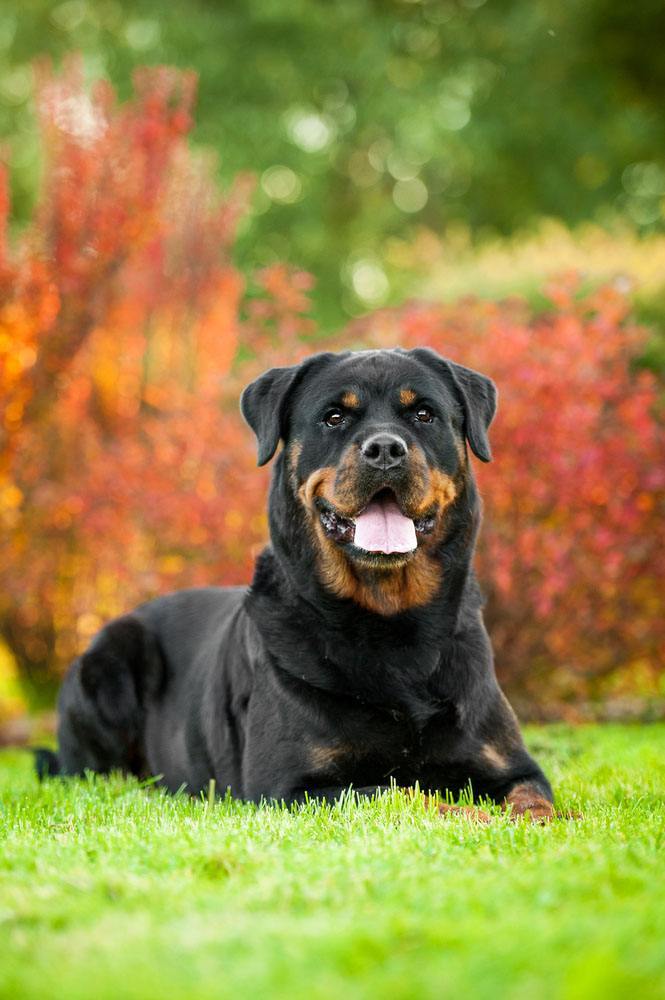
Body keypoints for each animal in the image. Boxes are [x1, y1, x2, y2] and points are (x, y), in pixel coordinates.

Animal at [39, 350, 552, 820]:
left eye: (423, 414)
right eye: (334, 417)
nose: (386, 449)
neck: (391, 622)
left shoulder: (513, 766)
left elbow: (535, 801)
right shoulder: (290, 787)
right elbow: (405, 794)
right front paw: (476, 816)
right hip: (108, 664)